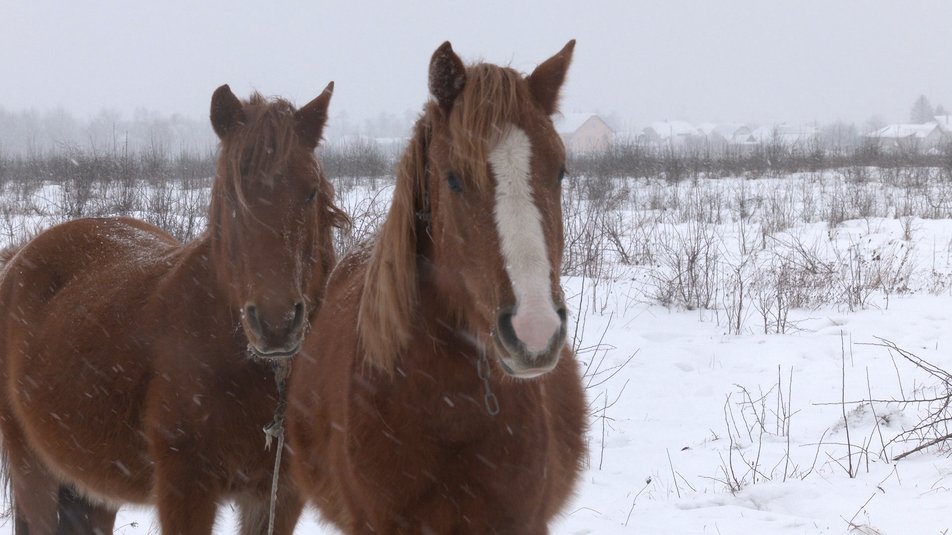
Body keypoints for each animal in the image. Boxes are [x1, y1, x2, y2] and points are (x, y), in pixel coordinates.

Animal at [0, 82, 348, 535]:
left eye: (310, 191)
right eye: (231, 197)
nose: (276, 324)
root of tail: (17, 259)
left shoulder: (279, 496)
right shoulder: (185, 490)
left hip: (92, 489)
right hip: (33, 471)